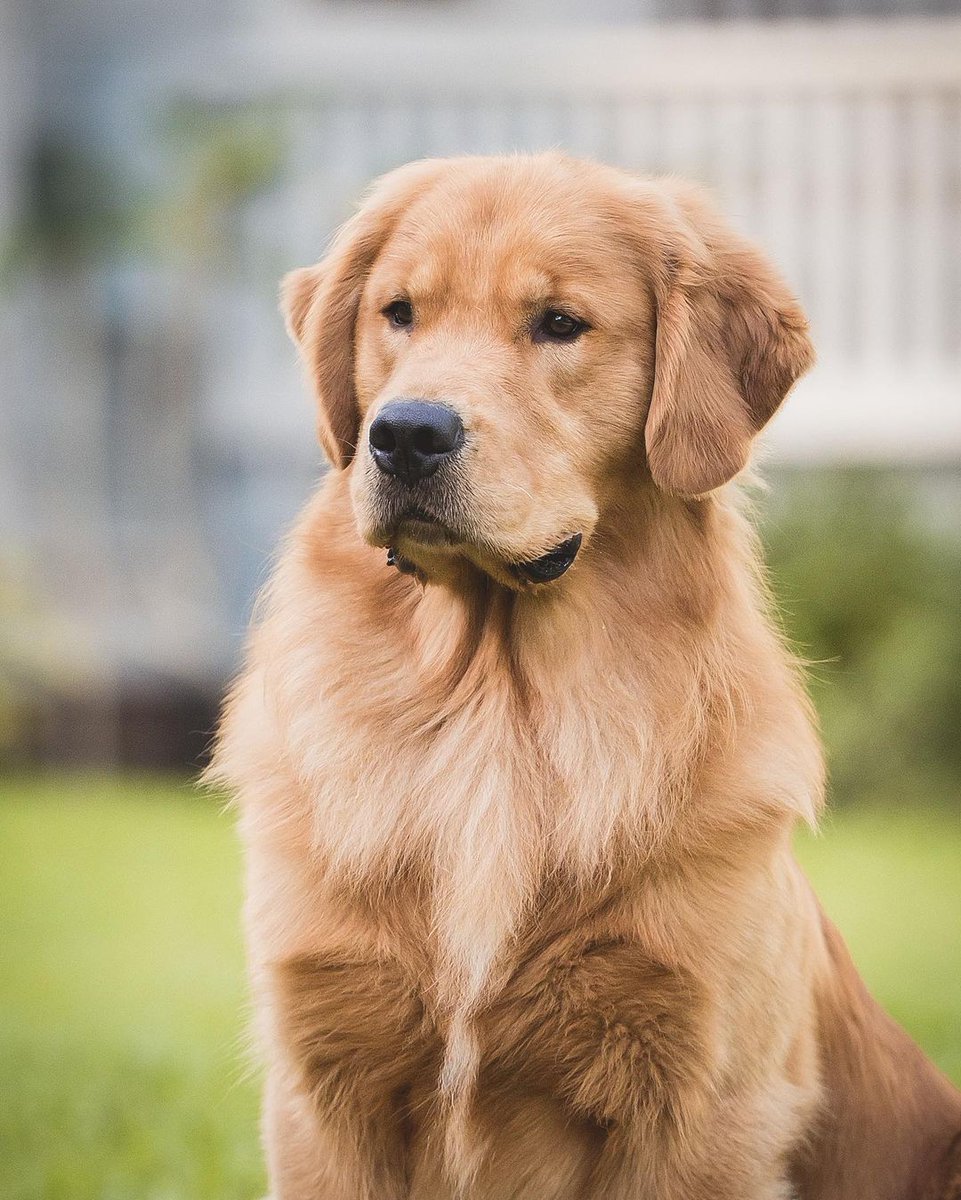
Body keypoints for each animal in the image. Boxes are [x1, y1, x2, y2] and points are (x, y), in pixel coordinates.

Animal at [212, 154, 959, 1195]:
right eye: (398, 312)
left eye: (559, 323)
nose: (405, 435)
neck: (492, 710)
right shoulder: (324, 1094)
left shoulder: (699, 1107)